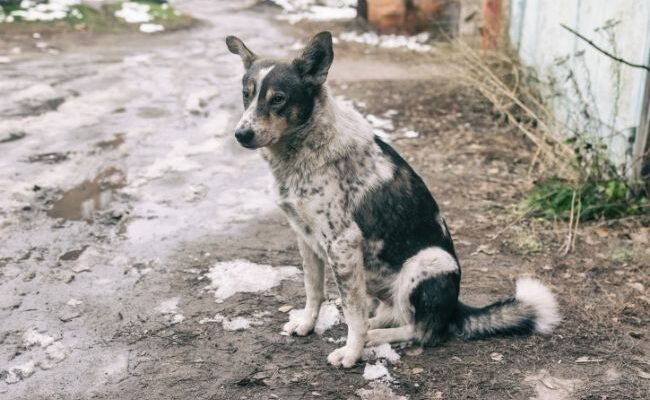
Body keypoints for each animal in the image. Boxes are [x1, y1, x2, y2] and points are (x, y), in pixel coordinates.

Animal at [223, 32, 556, 368]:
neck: (300, 153)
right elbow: (313, 291)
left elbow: (353, 312)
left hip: (428, 262)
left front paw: (352, 353)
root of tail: (455, 308)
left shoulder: (342, 243)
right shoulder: (306, 238)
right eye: (246, 95)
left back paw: (375, 337)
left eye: (278, 98)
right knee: (391, 313)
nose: (241, 135)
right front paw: (307, 324)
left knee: (422, 330)